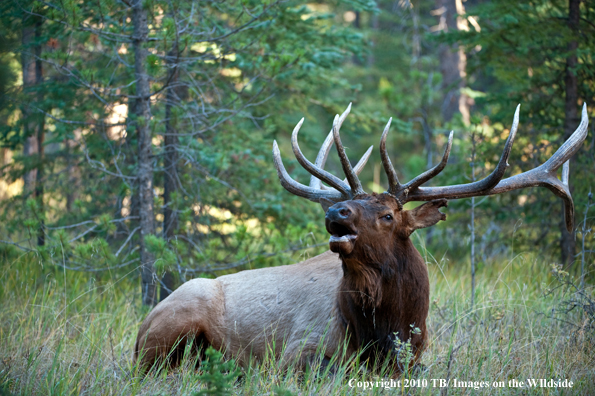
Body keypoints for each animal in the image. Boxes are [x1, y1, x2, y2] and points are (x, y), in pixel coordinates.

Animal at [134, 101, 588, 372]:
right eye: (350, 204)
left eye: (388, 215)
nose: (336, 211)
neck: (386, 329)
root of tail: (141, 326)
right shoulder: (297, 351)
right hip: (174, 324)